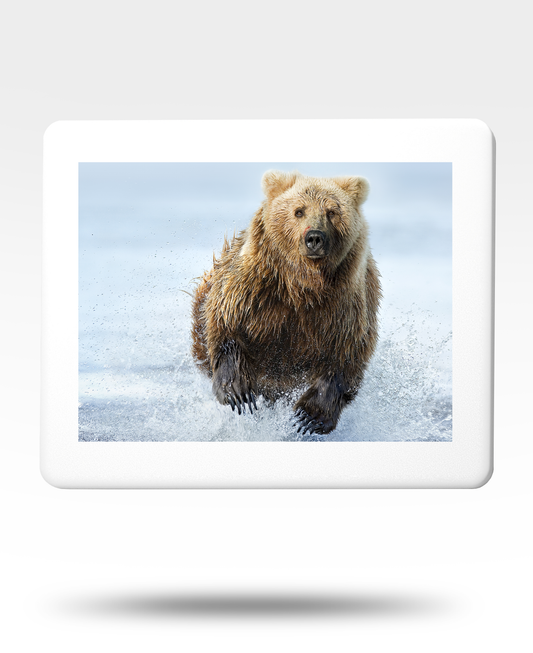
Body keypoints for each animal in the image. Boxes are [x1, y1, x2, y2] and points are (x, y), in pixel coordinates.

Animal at [191, 170, 381, 436]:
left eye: (332, 212)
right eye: (299, 211)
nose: (314, 237)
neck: (302, 285)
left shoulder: (344, 304)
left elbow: (346, 355)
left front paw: (309, 417)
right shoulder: (256, 288)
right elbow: (227, 324)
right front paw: (238, 393)